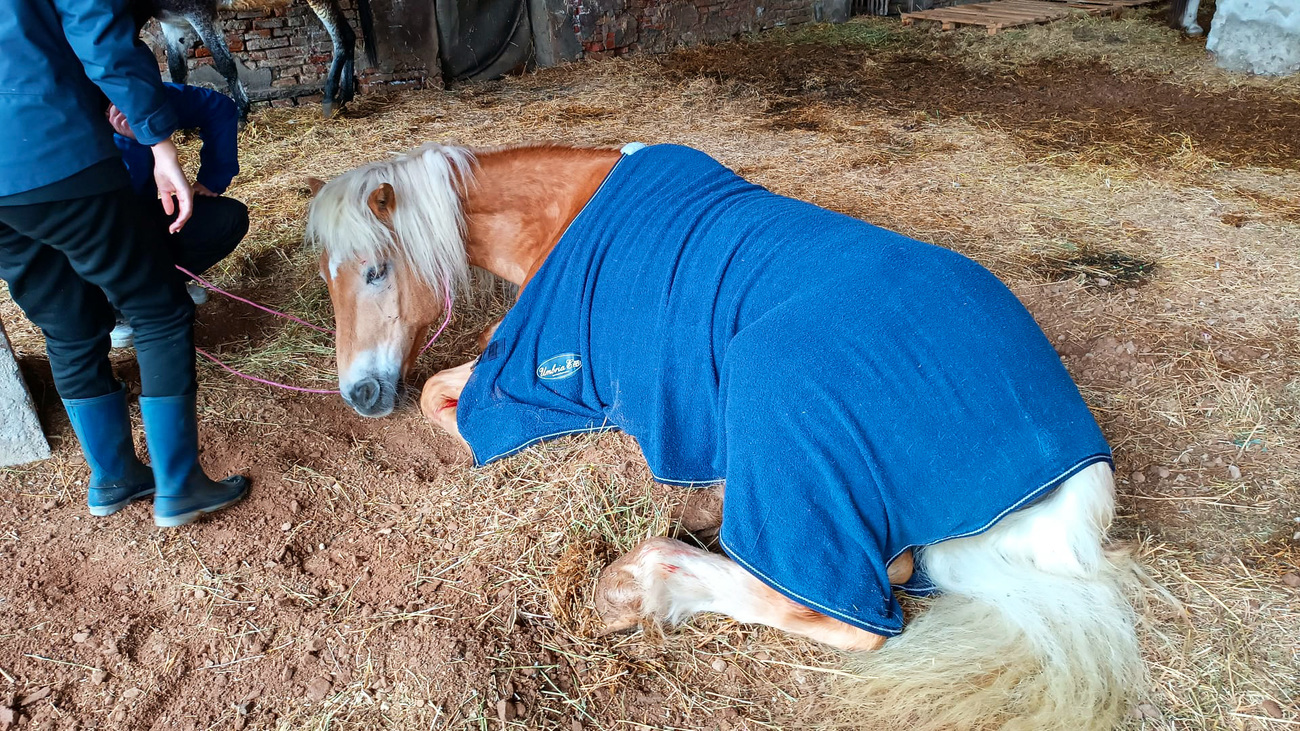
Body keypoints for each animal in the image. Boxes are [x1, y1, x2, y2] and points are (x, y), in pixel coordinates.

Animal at [309, 141, 1144, 723]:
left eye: (377, 270)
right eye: (327, 277)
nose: (359, 394)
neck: (564, 213)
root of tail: (1070, 486)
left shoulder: (541, 381)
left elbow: (441, 401)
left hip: (776, 398)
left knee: (848, 605)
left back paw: (645, 581)